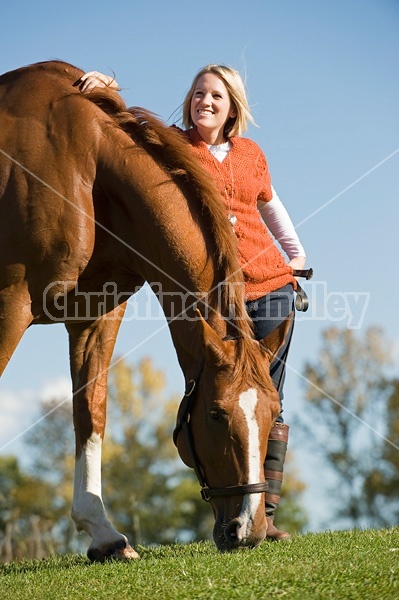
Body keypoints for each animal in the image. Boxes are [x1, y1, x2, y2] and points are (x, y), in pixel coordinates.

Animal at [0, 59, 288, 556]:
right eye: (216, 414)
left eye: (271, 415)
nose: (247, 530)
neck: (85, 163)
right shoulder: (11, 299)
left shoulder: (94, 316)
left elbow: (91, 411)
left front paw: (102, 531)